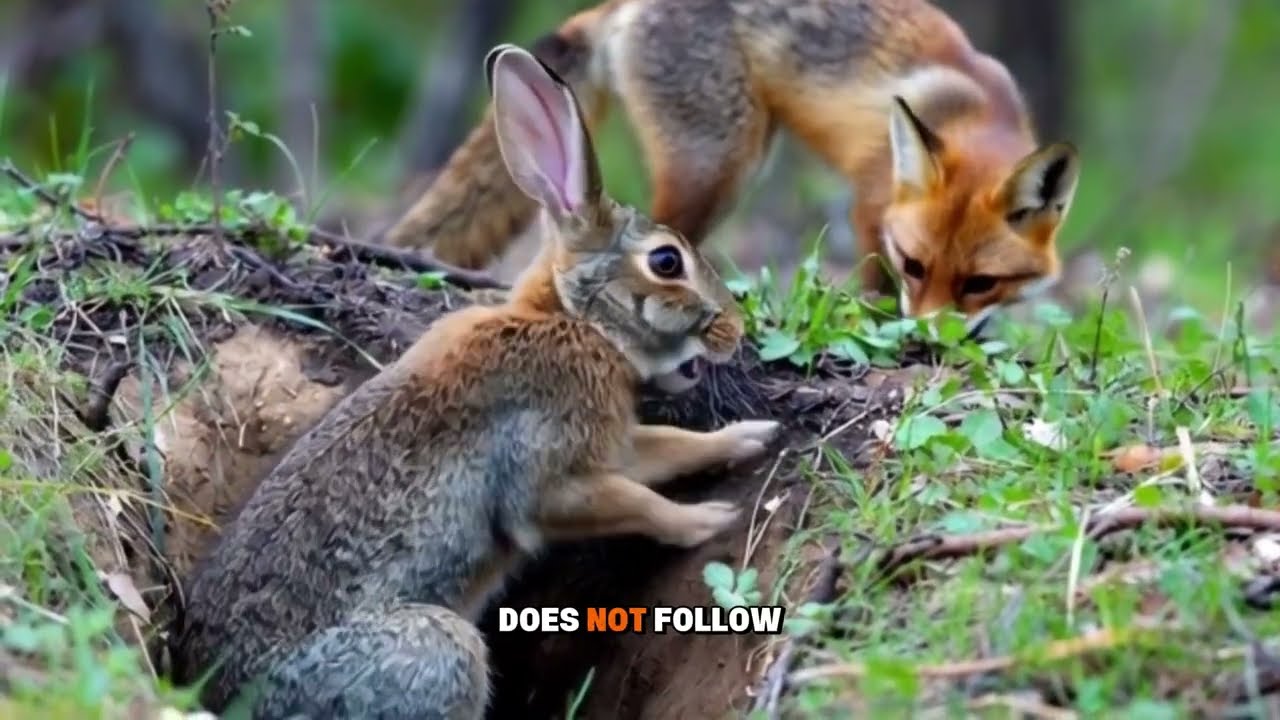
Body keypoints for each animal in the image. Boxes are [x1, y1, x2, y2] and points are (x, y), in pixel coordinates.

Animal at [170, 43, 781, 720]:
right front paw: (710, 522)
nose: (733, 328)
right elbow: (630, 502)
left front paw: (752, 436)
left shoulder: (613, 444)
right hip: (441, 651)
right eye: (666, 262)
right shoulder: (547, 475)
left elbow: (672, 448)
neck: (576, 323)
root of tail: (217, 694)